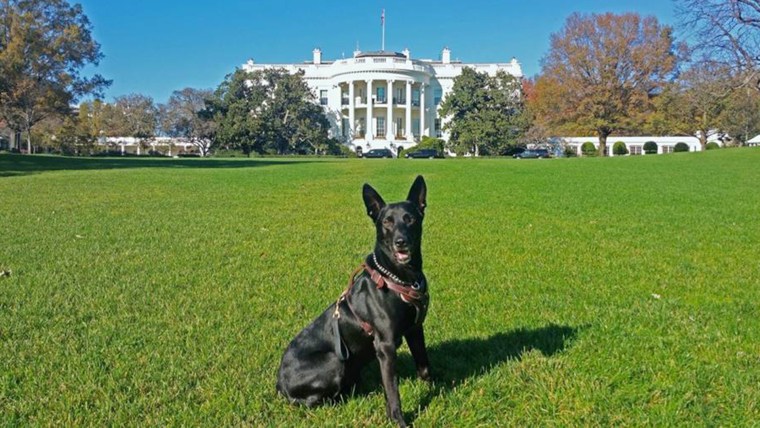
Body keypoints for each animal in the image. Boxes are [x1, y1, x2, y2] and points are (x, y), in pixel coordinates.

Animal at [276, 176, 430, 426]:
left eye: (410, 219)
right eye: (387, 222)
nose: (401, 242)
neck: (399, 278)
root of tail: (279, 383)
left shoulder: (415, 329)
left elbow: (424, 367)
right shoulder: (385, 346)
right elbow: (392, 391)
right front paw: (398, 420)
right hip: (333, 361)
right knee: (308, 401)